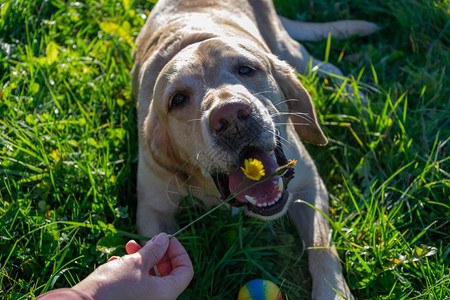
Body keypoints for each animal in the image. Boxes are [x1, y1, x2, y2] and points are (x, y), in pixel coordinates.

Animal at [133, 1, 376, 298]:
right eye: (177, 100)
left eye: (246, 69)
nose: (231, 116)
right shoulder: (152, 210)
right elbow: (157, 263)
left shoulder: (310, 185)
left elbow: (322, 247)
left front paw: (332, 292)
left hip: (290, 50)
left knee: (326, 66)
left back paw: (358, 99)